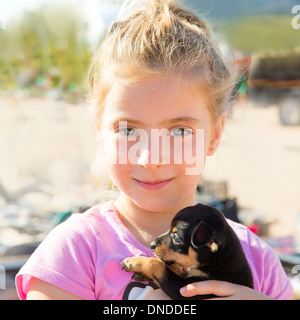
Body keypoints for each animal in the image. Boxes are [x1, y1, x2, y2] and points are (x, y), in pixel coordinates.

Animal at [121, 204, 253, 298]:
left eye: (176, 237)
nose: (152, 245)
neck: (218, 262)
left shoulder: (183, 289)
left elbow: (159, 265)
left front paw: (134, 262)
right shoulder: (185, 276)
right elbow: (171, 266)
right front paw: (142, 273)